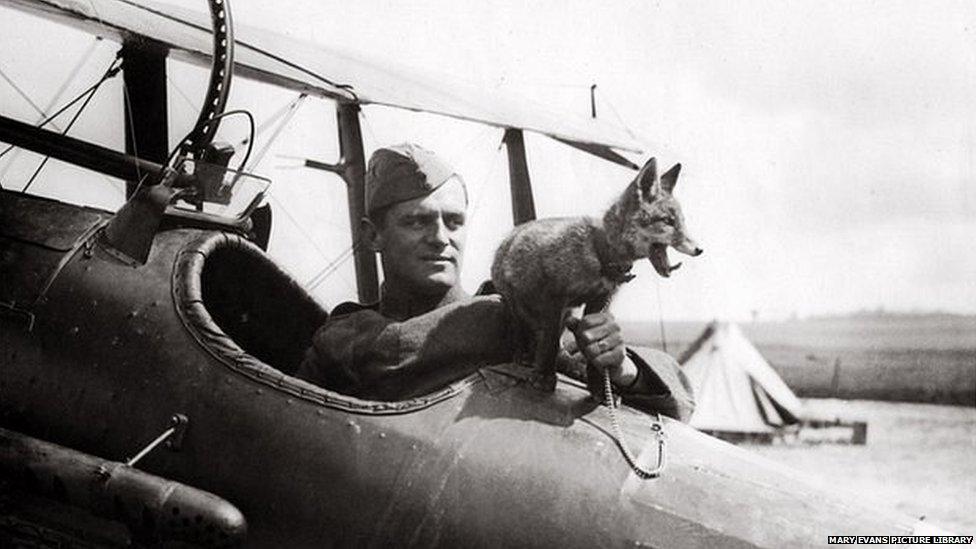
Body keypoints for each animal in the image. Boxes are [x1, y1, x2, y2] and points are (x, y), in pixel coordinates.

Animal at [496, 156, 700, 392]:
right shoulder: (554, 297)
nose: (699, 249)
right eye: (668, 221)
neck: (600, 256)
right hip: (517, 305)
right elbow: (549, 343)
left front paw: (599, 386)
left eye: (682, 222)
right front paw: (545, 376)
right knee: (525, 333)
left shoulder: (599, 300)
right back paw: (524, 357)